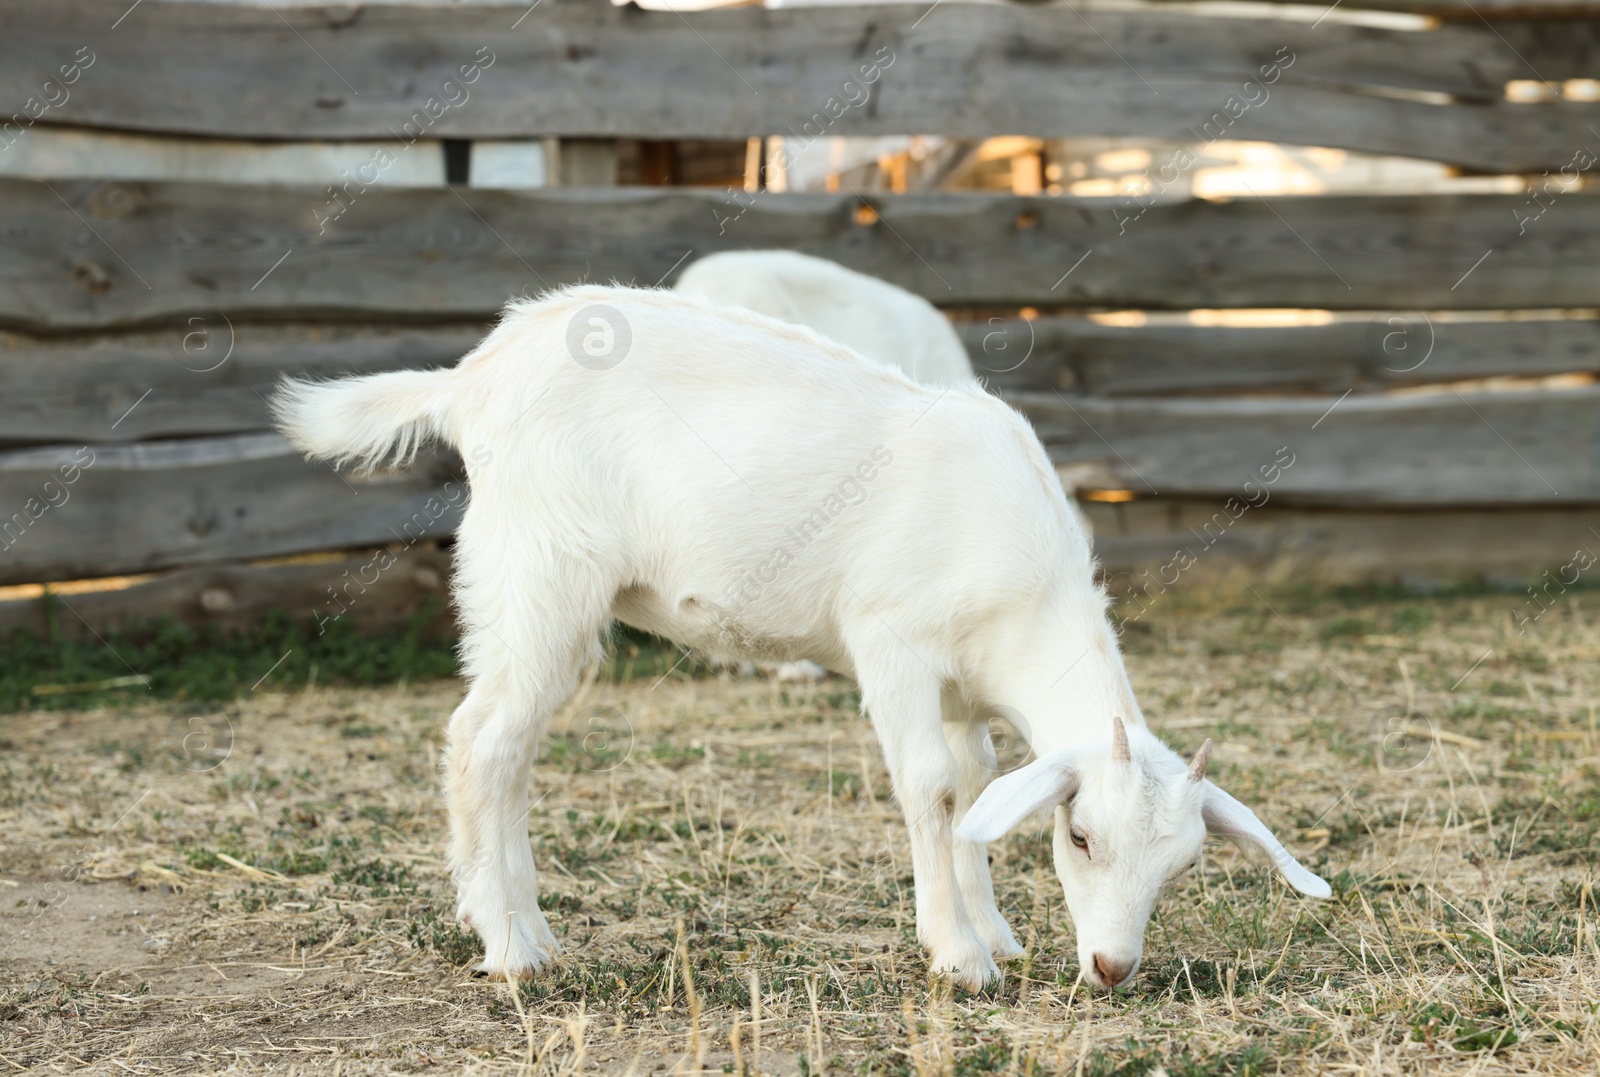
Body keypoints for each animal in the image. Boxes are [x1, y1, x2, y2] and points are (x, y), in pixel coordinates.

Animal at [272, 284, 1324, 992]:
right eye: (1080, 836)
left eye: (1183, 868)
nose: (1112, 966)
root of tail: (469, 379)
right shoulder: (894, 642)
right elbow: (933, 786)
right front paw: (959, 957)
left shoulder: (963, 687)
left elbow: (977, 785)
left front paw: (994, 931)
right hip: (540, 569)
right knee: (483, 739)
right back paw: (513, 946)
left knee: (505, 744)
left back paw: (509, 920)